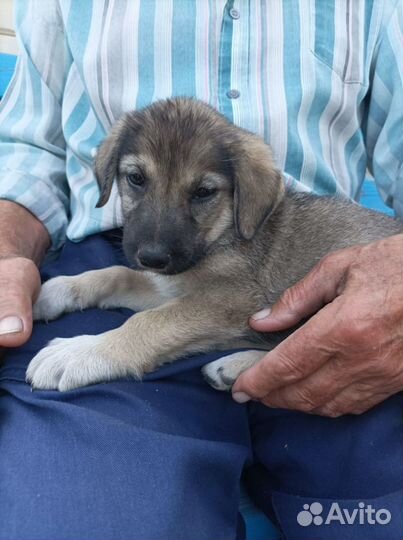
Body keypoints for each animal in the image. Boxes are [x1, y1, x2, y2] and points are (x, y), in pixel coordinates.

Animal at [26, 98, 402, 392]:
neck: (221, 236)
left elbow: (148, 323)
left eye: (203, 192)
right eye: (136, 178)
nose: (152, 257)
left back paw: (237, 365)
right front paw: (55, 291)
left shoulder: (228, 302)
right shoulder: (170, 287)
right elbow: (115, 273)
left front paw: (80, 353)